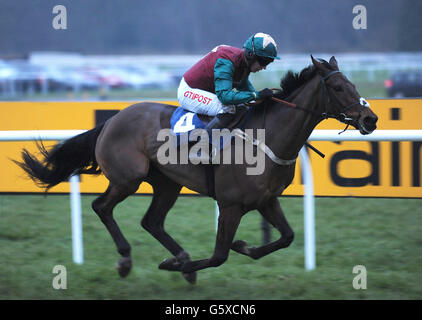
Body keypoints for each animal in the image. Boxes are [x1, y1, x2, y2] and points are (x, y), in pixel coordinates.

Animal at [15, 56, 380, 284]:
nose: (370, 118)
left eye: (352, 84)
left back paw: (179, 257)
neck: (269, 137)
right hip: (128, 178)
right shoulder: (231, 205)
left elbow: (286, 237)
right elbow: (219, 255)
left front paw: (241, 248)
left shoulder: (266, 200)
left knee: (151, 221)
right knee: (101, 207)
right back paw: (128, 259)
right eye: (338, 88)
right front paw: (185, 264)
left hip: (166, 183)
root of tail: (112, 119)